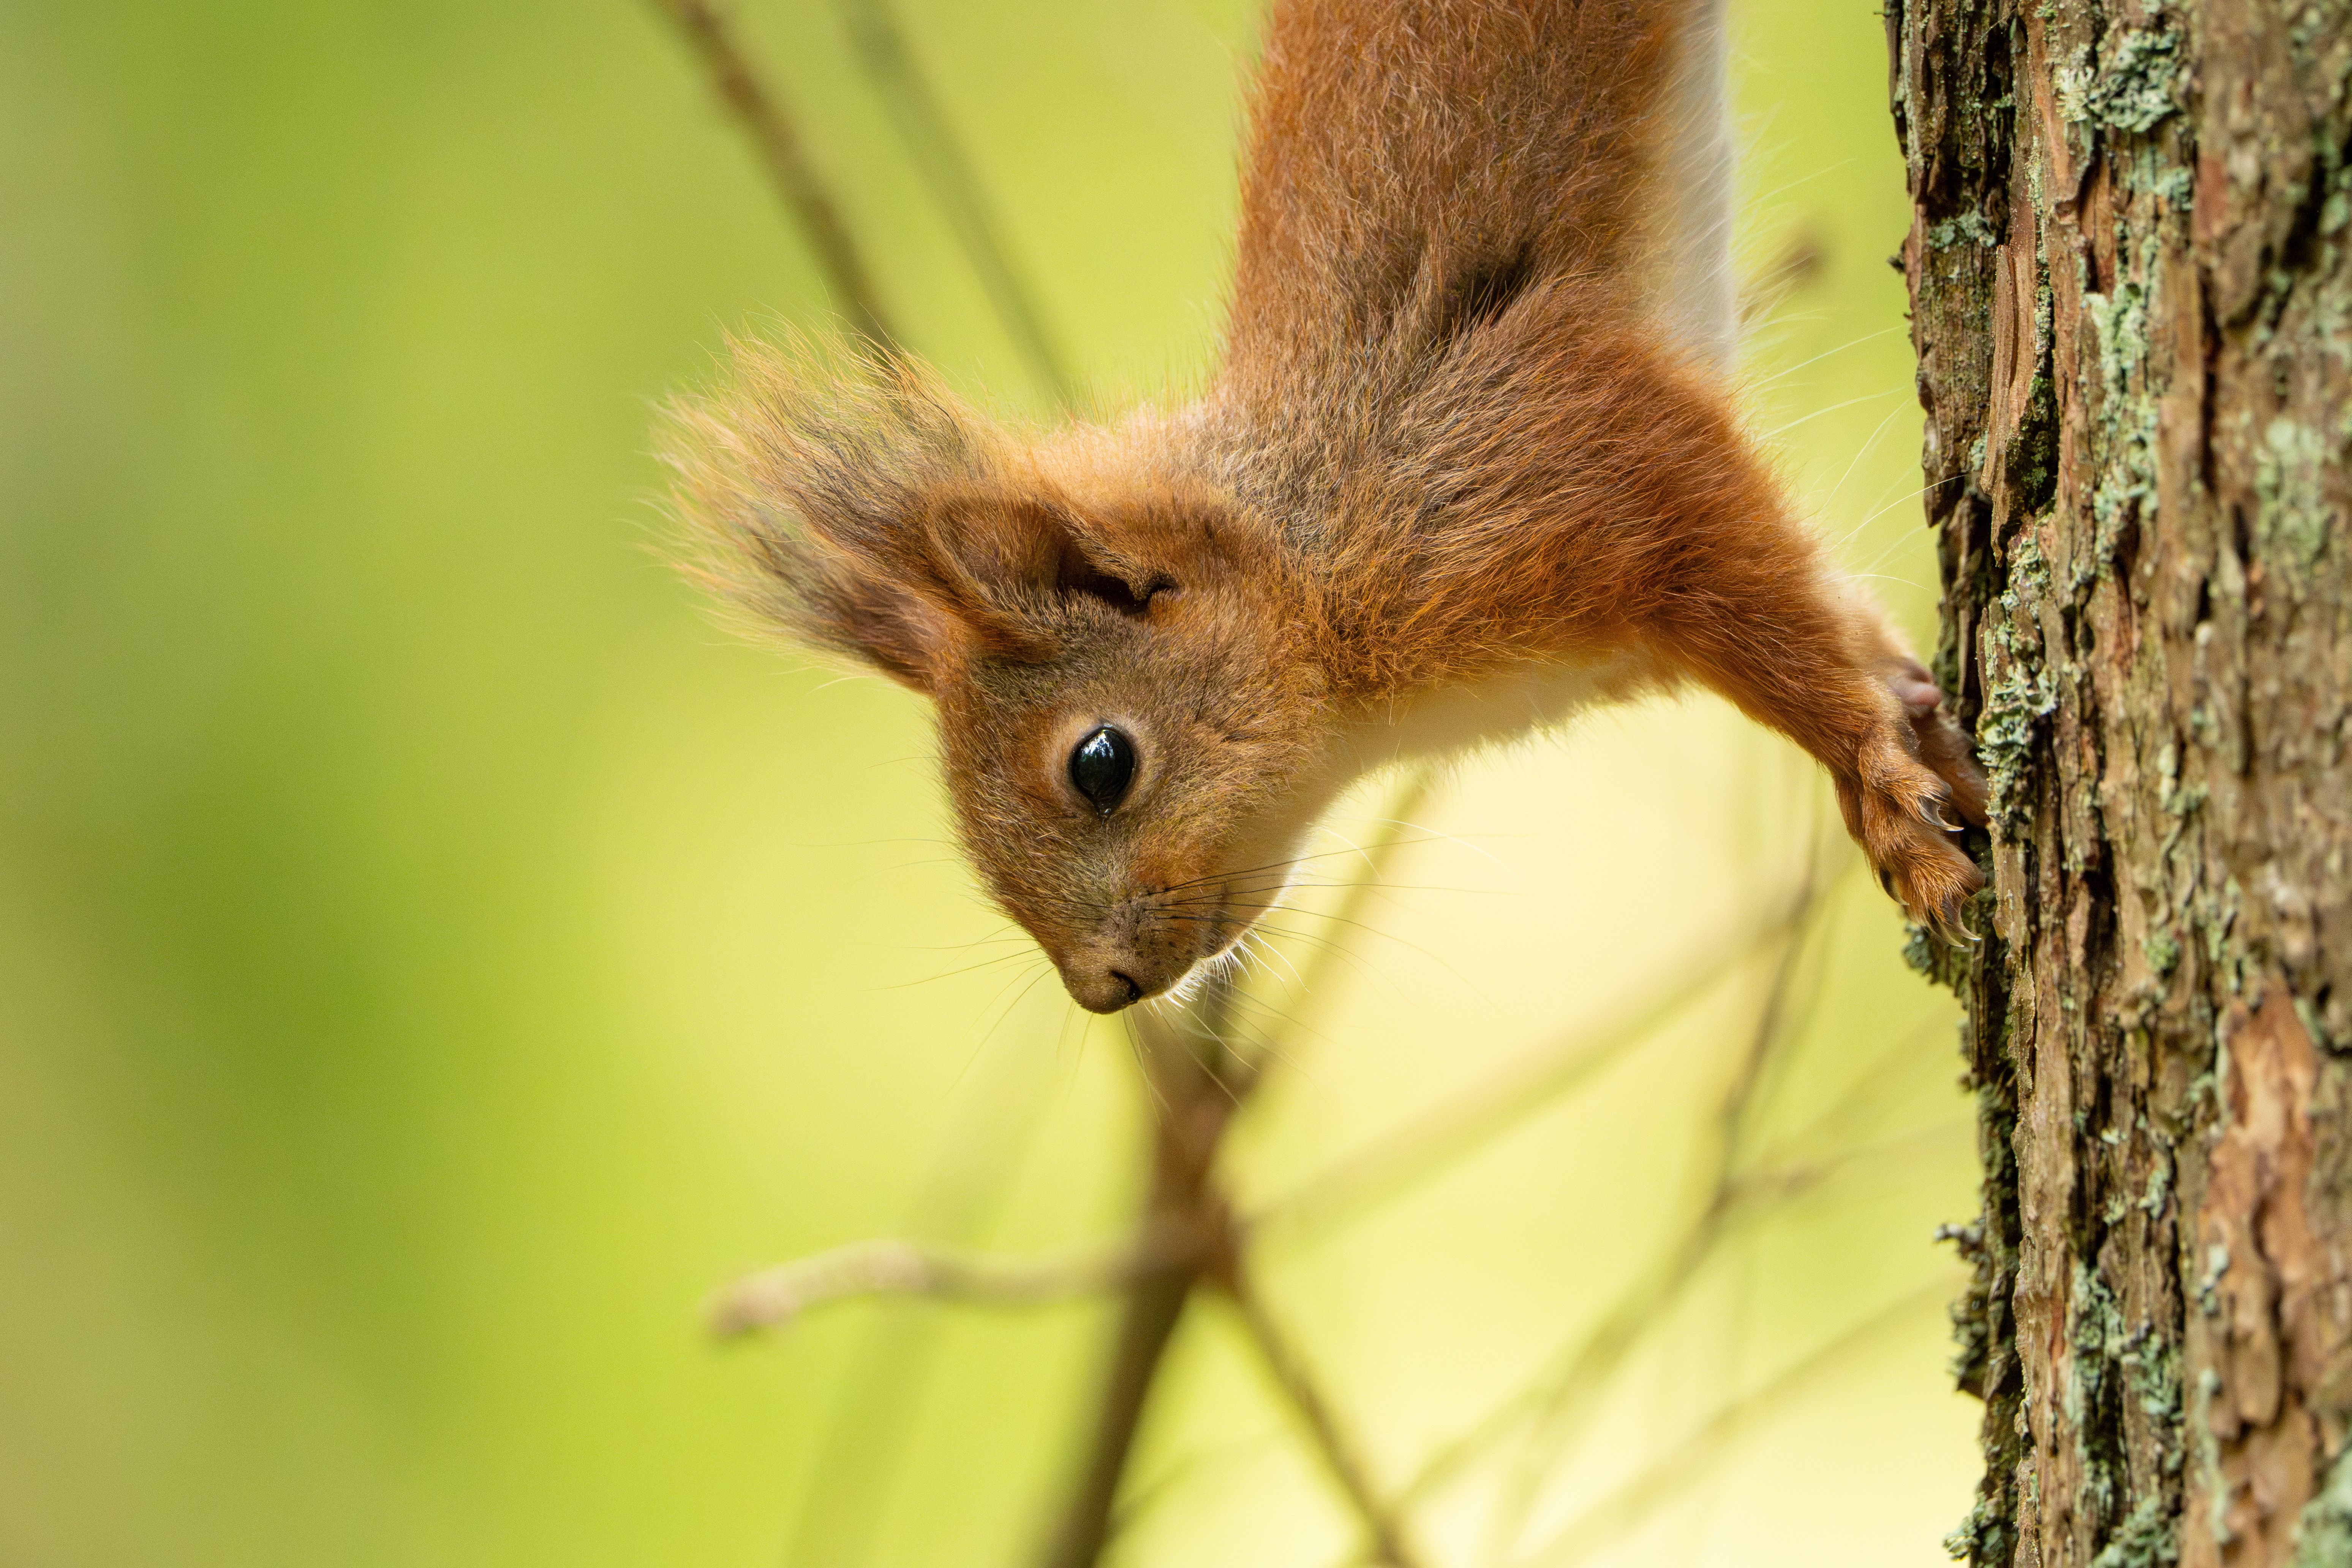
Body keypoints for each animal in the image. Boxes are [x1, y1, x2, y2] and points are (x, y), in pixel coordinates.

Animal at [663, 0, 1990, 1015]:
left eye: (1100, 762)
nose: (1102, 991)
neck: (1310, 538)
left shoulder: (1573, 457)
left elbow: (1774, 619)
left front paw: (1880, 789)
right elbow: (1832, 617)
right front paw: (1913, 719)